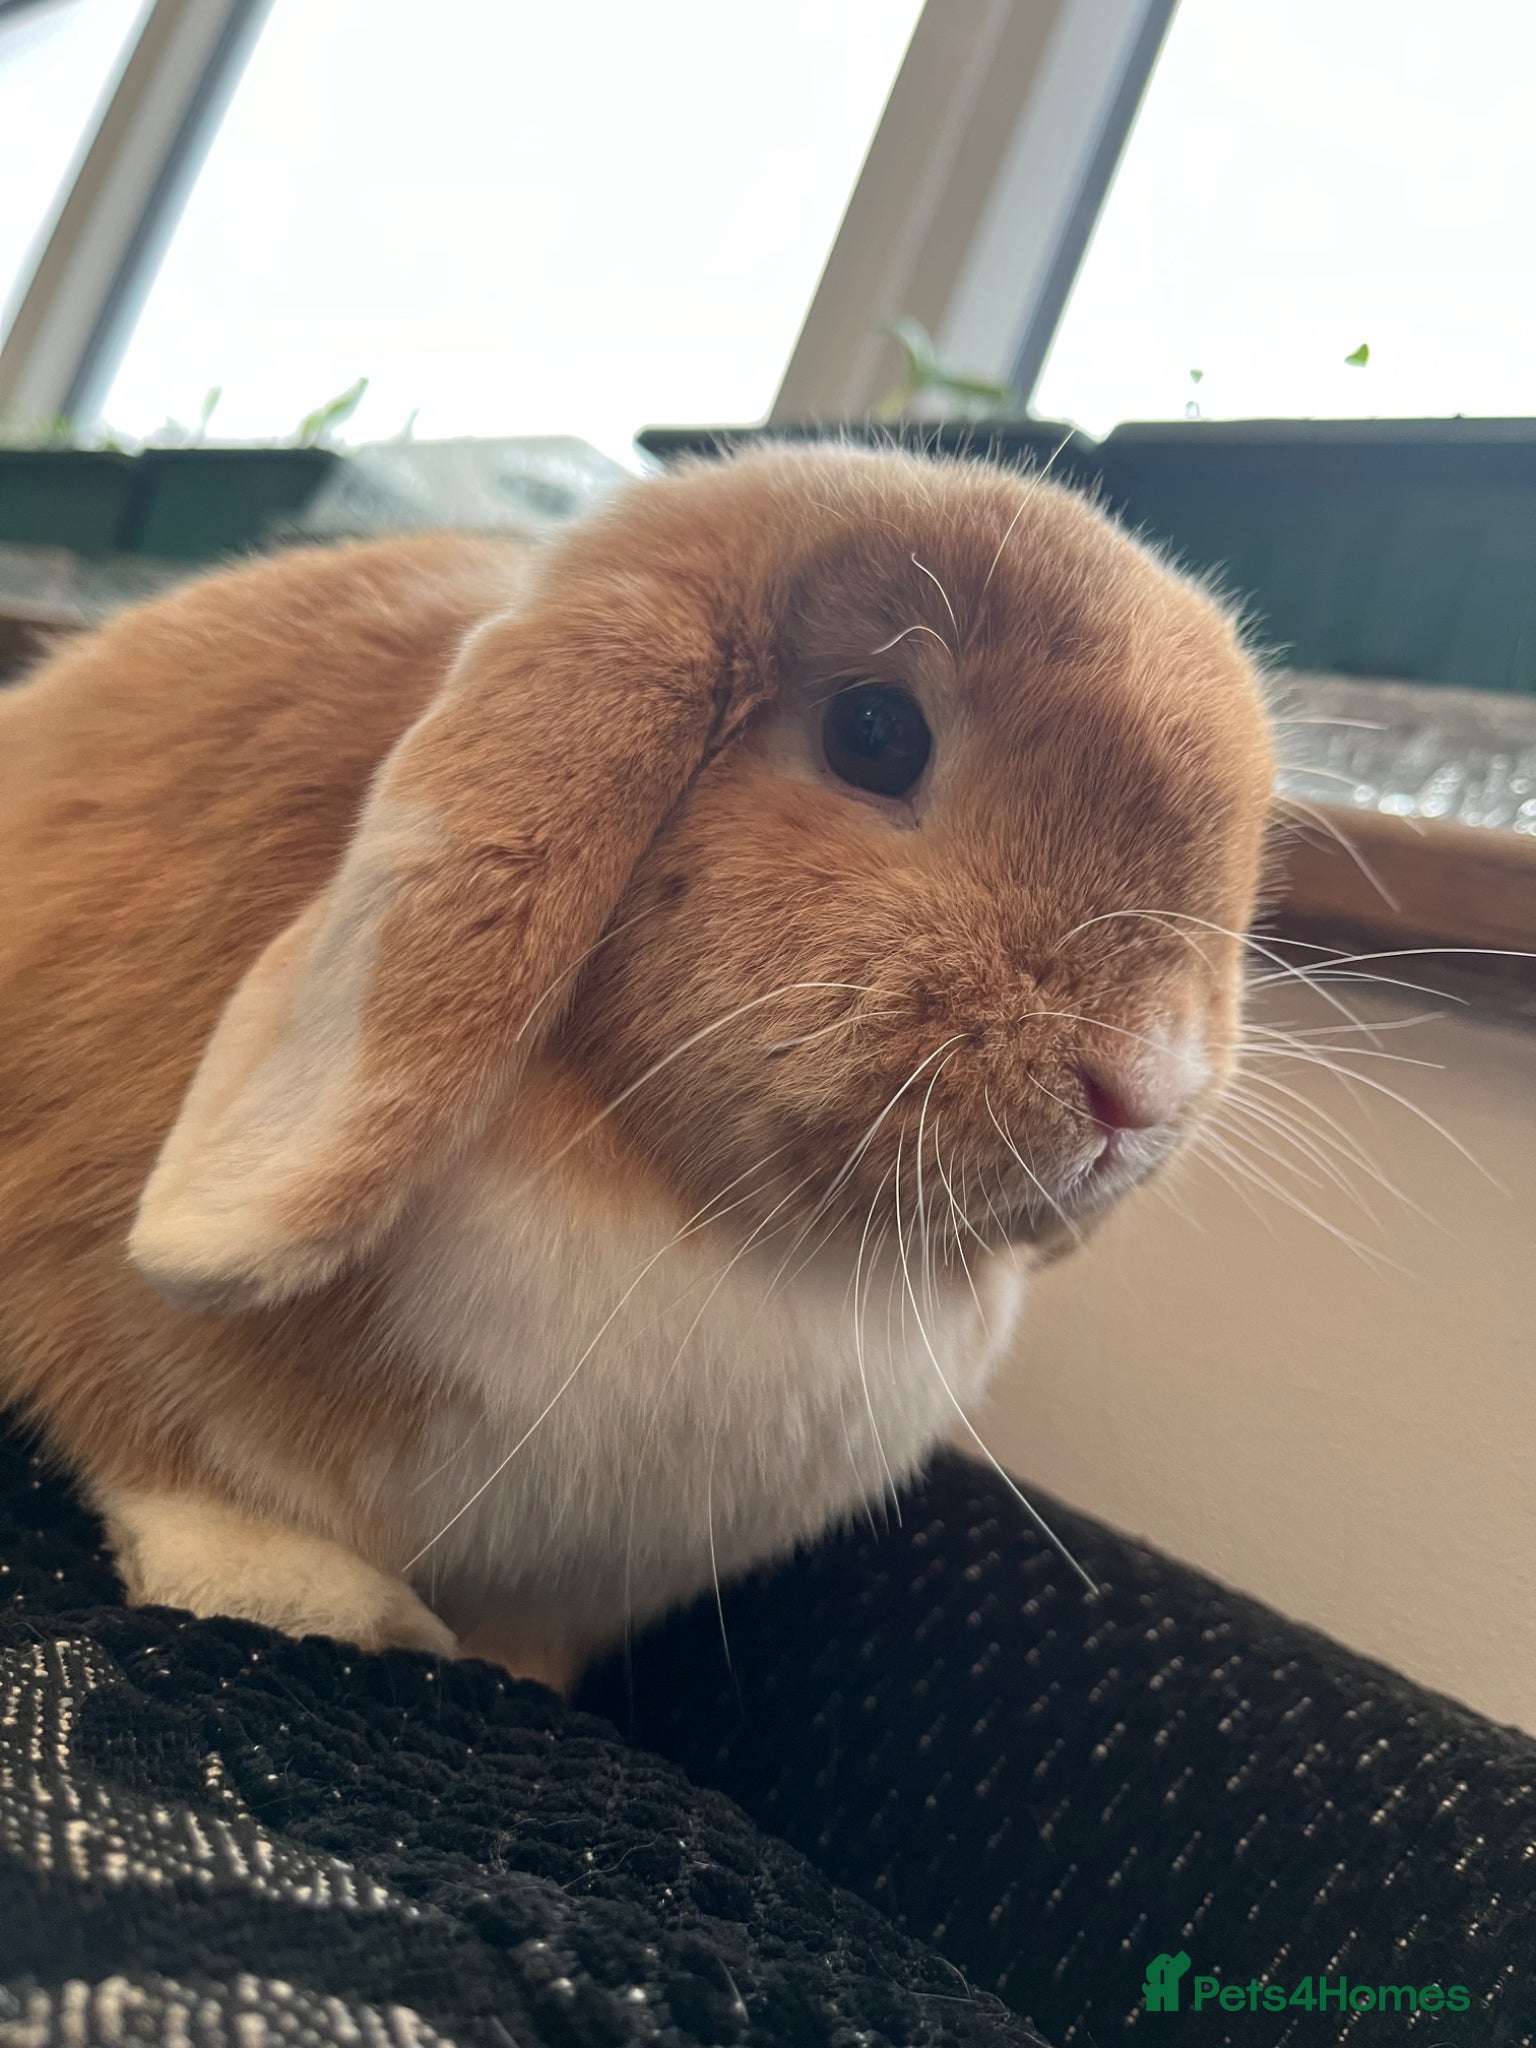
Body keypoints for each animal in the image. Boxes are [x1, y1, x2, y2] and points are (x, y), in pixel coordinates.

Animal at [0, 445, 1274, 1685]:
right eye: (873, 733)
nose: (1140, 1087)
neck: (725, 1226)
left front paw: (510, 1676)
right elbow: (170, 1457)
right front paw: (324, 1600)